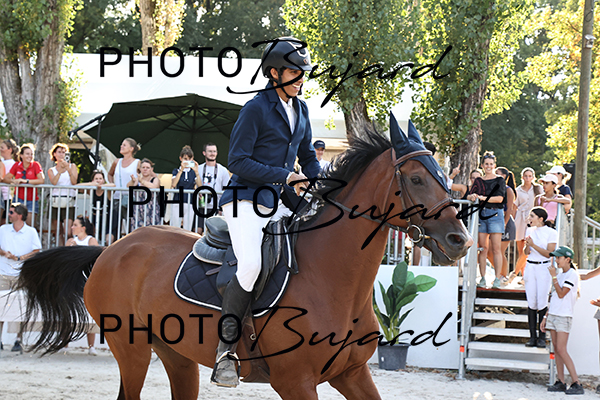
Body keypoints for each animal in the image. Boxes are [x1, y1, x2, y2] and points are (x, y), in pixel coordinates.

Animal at [16, 118, 473, 400]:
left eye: (443, 176)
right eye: (416, 179)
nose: (460, 241)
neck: (334, 279)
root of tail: (112, 248)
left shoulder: (352, 373)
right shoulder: (296, 382)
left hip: (176, 357)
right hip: (132, 351)